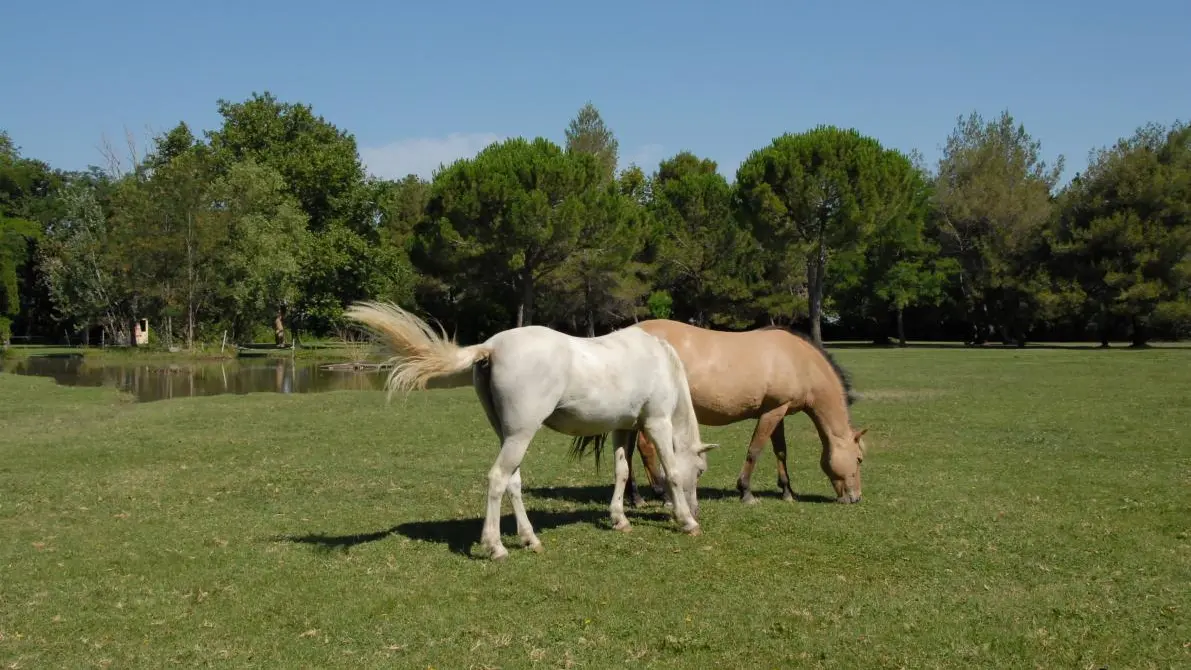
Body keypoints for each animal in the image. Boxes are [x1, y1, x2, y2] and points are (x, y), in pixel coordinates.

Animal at [343, 302, 718, 560]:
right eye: (700, 470)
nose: (698, 510)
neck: (660, 360)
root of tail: (491, 346)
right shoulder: (656, 422)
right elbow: (672, 472)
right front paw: (687, 522)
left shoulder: (622, 428)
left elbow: (622, 472)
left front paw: (620, 519)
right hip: (520, 435)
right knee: (498, 479)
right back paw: (495, 546)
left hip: (509, 436)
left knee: (513, 482)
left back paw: (529, 539)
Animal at [611, 320, 868, 506]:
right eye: (859, 459)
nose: (855, 497)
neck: (799, 360)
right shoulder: (772, 412)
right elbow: (755, 450)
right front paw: (746, 492)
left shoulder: (778, 411)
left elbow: (781, 452)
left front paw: (787, 491)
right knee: (646, 449)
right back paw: (660, 494)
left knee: (631, 452)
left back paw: (636, 498)